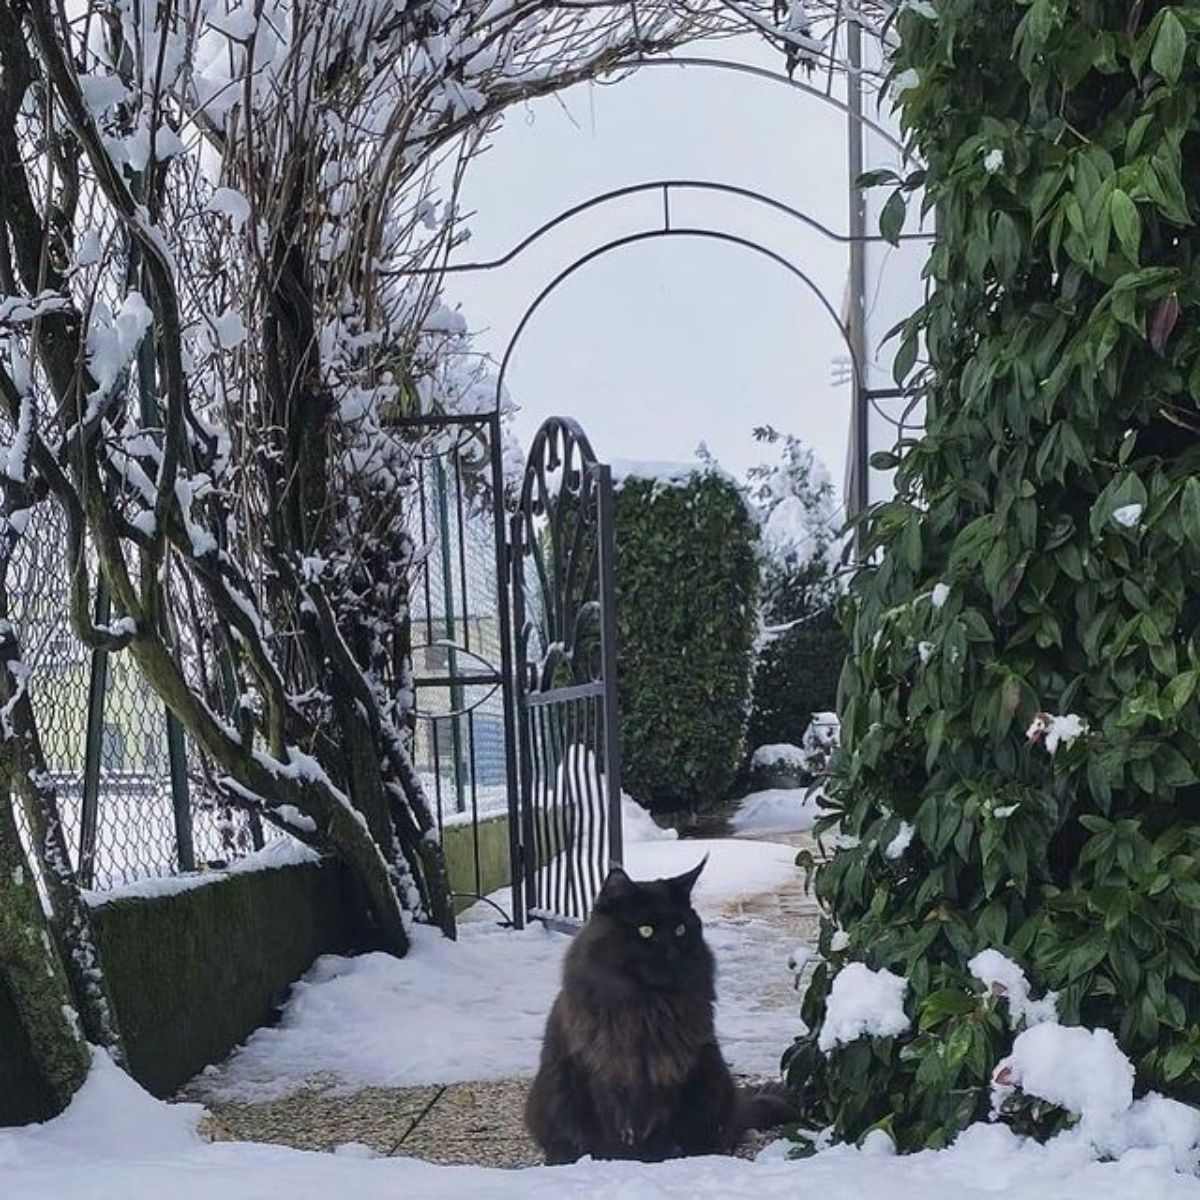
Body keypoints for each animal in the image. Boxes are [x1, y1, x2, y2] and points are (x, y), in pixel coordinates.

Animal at [523, 859, 787, 1166]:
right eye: (645, 930)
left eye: (681, 930)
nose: (672, 953)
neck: (648, 1009)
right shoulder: (603, 1076)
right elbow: (614, 1137)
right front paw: (620, 1162)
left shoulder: (670, 1075)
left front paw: (656, 1161)